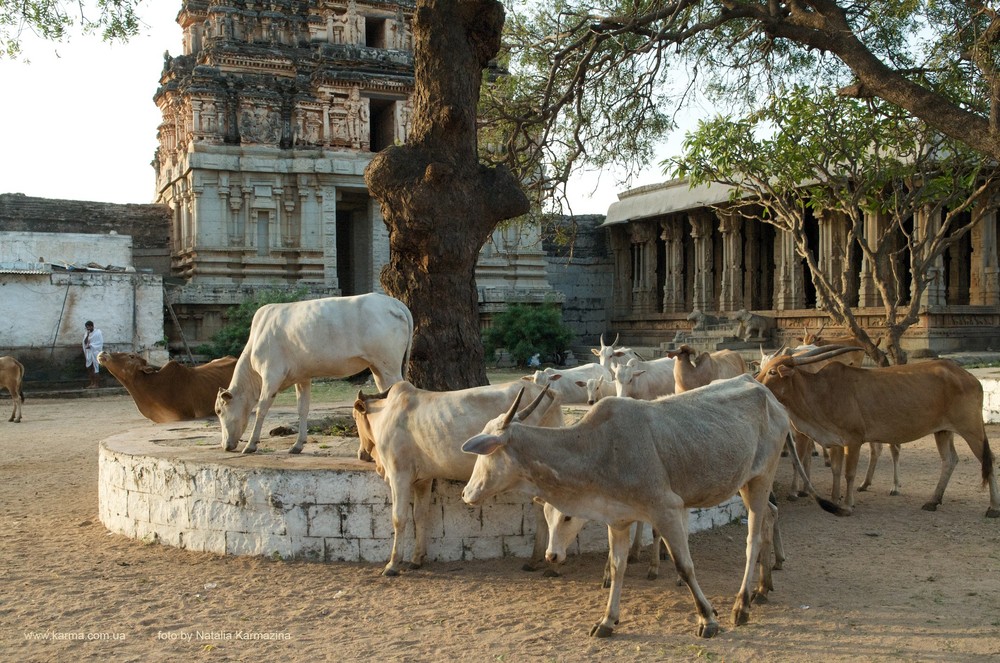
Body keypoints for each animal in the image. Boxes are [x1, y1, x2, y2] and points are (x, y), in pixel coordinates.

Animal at [215, 296, 414, 456]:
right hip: (378, 368)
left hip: (388, 364)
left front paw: (250, 445)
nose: (225, 446)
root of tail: (393, 302)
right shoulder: (302, 377)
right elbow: (302, 408)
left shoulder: (271, 375)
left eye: (218, 410)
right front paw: (297, 445)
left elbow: (261, 409)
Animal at [352, 382, 564, 580]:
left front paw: (392, 564)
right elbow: (420, 514)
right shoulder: (423, 479)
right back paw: (535, 560)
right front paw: (417, 559)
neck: (385, 414)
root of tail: (547, 392)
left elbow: (399, 518)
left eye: (355, 417)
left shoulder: (399, 475)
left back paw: (550, 565)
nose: (361, 453)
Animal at [460, 374, 844, 640]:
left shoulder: (667, 509)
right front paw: (607, 621)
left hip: (761, 478)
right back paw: (763, 588)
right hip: (748, 483)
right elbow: (617, 567)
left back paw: (742, 604)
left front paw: (708, 618)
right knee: (766, 524)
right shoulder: (619, 519)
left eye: (487, 453)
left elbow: (684, 566)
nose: (466, 493)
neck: (598, 446)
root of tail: (766, 392)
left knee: (752, 538)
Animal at [756, 348, 1000, 520]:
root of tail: (970, 377)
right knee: (950, 460)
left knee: (988, 459)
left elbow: (849, 473)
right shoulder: (835, 441)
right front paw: (834, 499)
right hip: (943, 431)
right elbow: (836, 470)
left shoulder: (853, 440)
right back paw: (933, 501)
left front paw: (846, 505)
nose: (755, 381)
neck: (822, 391)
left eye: (772, 371)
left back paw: (993, 508)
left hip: (972, 429)